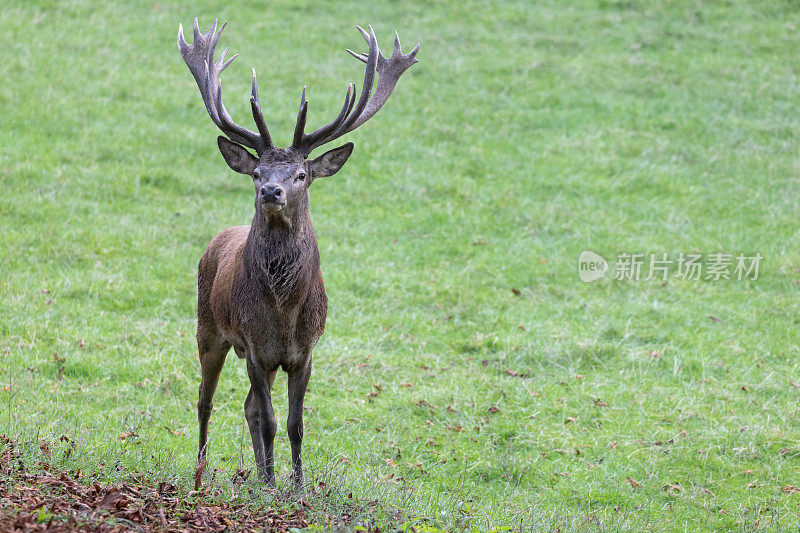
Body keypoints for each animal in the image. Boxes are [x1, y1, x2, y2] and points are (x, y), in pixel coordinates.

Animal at [178, 19, 422, 486]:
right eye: (256, 172)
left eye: (302, 174)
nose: (271, 191)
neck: (284, 311)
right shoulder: (256, 347)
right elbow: (272, 421)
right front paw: (275, 485)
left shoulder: (305, 350)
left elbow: (294, 423)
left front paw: (294, 484)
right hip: (208, 328)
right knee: (206, 400)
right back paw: (201, 472)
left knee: (247, 407)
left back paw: (258, 475)